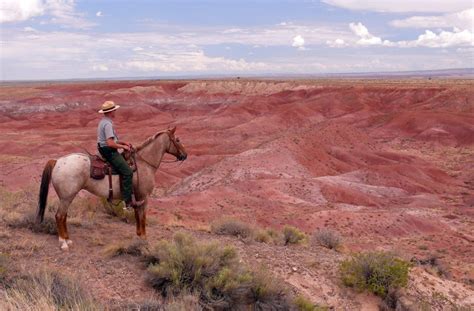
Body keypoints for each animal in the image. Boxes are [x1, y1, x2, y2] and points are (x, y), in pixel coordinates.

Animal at [36, 127, 187, 251]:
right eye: (178, 139)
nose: (185, 155)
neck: (144, 164)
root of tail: (57, 161)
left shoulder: (137, 199)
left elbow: (137, 217)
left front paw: (139, 236)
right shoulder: (143, 198)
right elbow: (143, 218)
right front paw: (144, 240)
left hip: (66, 197)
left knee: (63, 216)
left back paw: (68, 240)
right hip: (67, 197)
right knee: (59, 216)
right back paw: (63, 243)